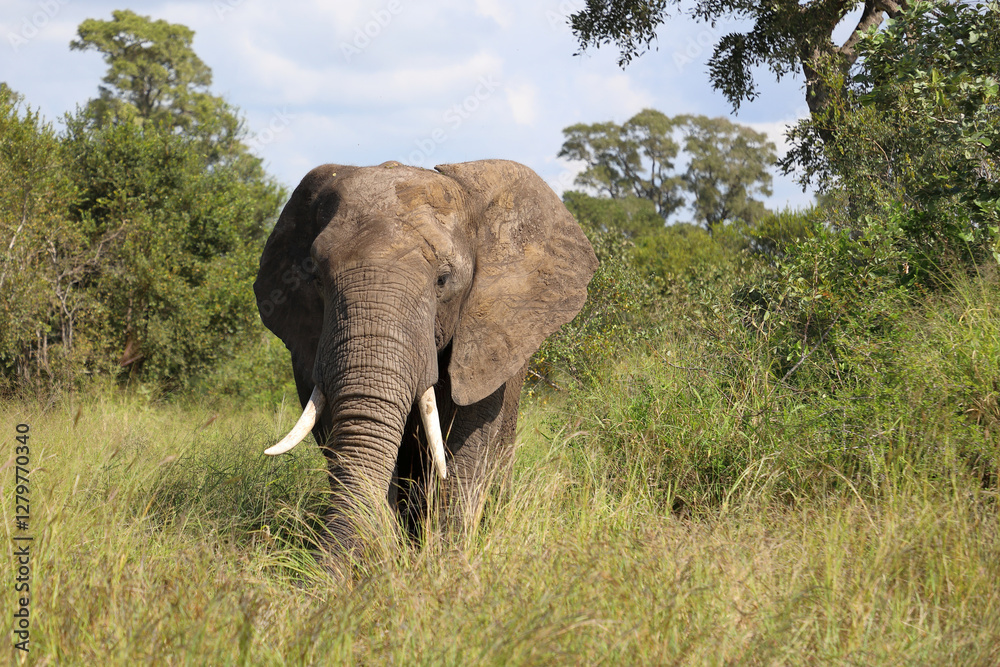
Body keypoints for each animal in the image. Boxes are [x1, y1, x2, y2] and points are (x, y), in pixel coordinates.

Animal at [253, 159, 597, 563]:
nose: (321, 569)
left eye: (443, 280)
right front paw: (384, 554)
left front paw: (444, 561)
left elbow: (467, 443)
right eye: (316, 277)